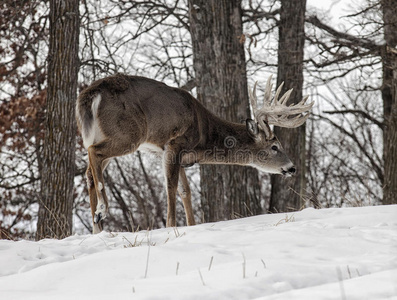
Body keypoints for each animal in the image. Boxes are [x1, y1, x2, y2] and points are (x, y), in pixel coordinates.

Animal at [76, 74, 312, 233]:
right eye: (275, 147)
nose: (292, 168)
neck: (204, 134)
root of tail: (90, 95)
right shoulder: (175, 143)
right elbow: (171, 188)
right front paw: (171, 226)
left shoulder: (170, 154)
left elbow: (185, 191)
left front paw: (192, 226)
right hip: (129, 133)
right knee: (93, 152)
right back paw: (102, 210)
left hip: (105, 135)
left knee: (89, 172)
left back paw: (97, 228)